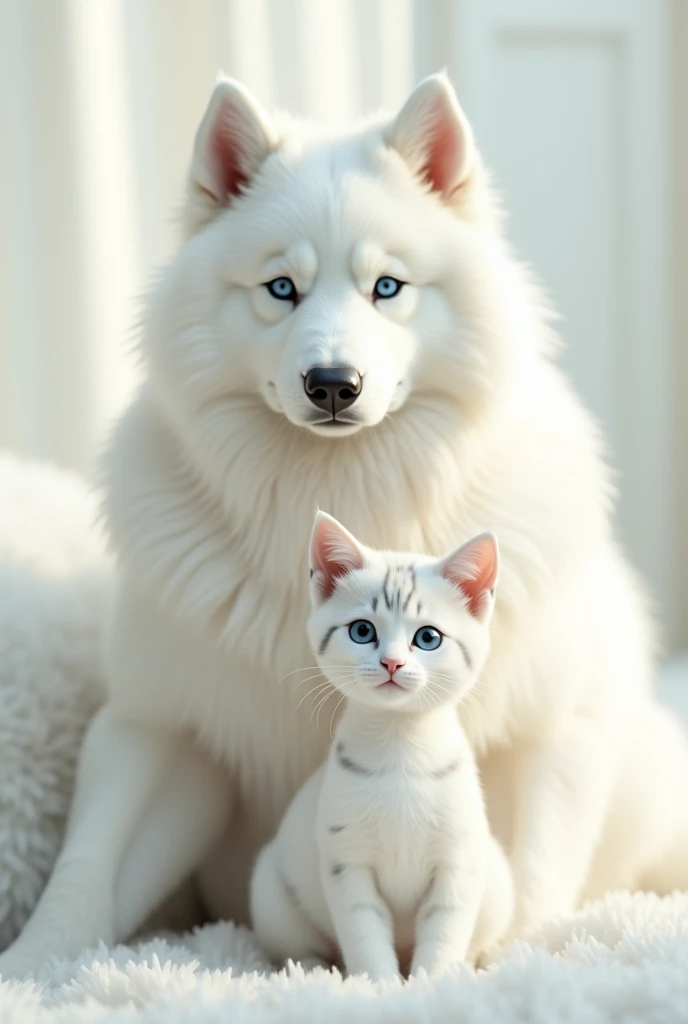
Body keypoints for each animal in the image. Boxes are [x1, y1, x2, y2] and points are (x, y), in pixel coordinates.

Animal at [249, 516, 513, 978]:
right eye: (362, 630)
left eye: (428, 637)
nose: (392, 662)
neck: (400, 748)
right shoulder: (347, 862)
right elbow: (364, 932)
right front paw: (380, 985)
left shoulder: (458, 860)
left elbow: (444, 932)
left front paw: (433, 981)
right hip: (271, 893)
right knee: (297, 945)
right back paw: (313, 969)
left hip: (497, 883)